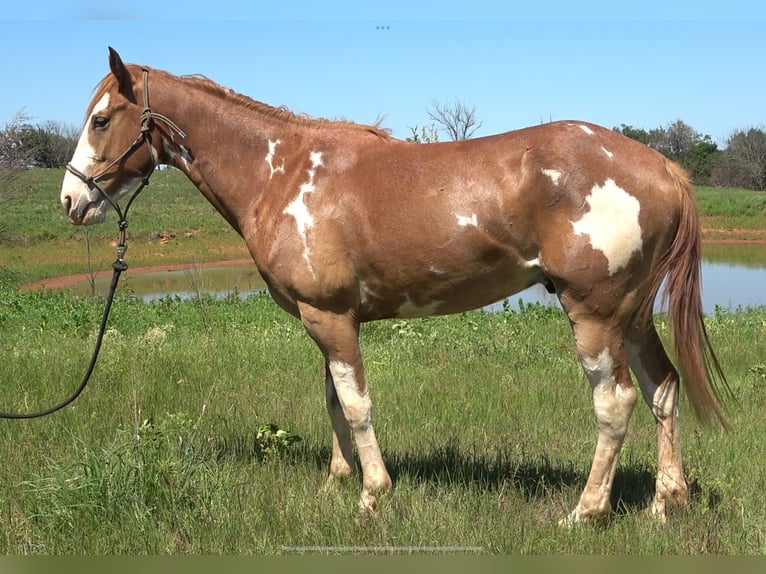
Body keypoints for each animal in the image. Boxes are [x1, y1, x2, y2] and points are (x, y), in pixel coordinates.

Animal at [61, 48, 729, 525]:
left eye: (101, 119)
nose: (70, 201)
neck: (282, 173)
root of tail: (661, 167)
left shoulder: (330, 317)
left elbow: (356, 405)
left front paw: (372, 494)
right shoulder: (325, 317)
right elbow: (333, 399)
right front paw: (335, 483)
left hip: (595, 314)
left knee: (615, 403)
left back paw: (585, 513)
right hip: (632, 317)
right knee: (663, 389)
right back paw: (666, 503)